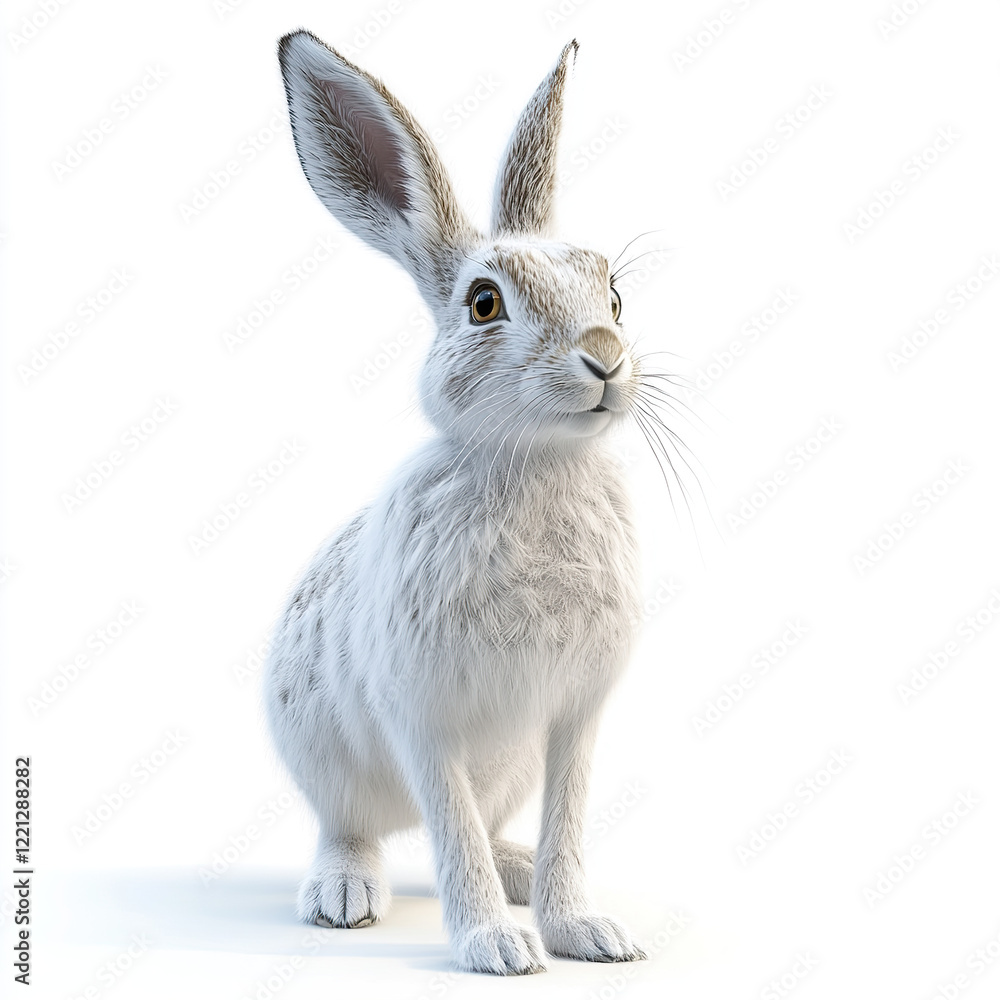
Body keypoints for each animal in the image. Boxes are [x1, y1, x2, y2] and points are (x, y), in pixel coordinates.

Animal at [264, 29, 654, 975]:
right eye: (484, 304)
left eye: (614, 294)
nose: (606, 355)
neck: (537, 463)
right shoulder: (424, 718)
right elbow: (453, 833)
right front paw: (498, 950)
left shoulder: (574, 718)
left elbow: (568, 824)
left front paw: (586, 932)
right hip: (324, 751)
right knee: (356, 827)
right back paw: (345, 894)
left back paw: (518, 875)